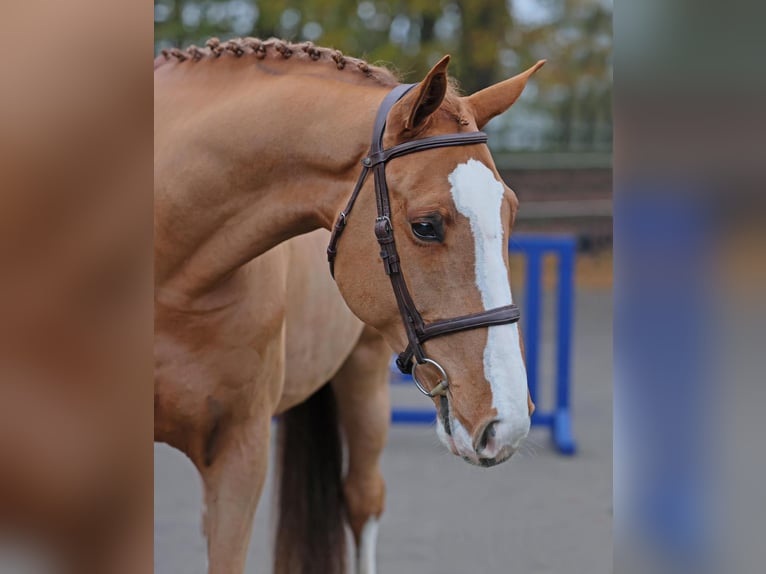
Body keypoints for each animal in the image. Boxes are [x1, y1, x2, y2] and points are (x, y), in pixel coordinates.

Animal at [153, 39, 544, 574]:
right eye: (425, 226)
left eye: (510, 210)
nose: (508, 422)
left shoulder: (240, 455)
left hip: (365, 380)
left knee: (362, 500)